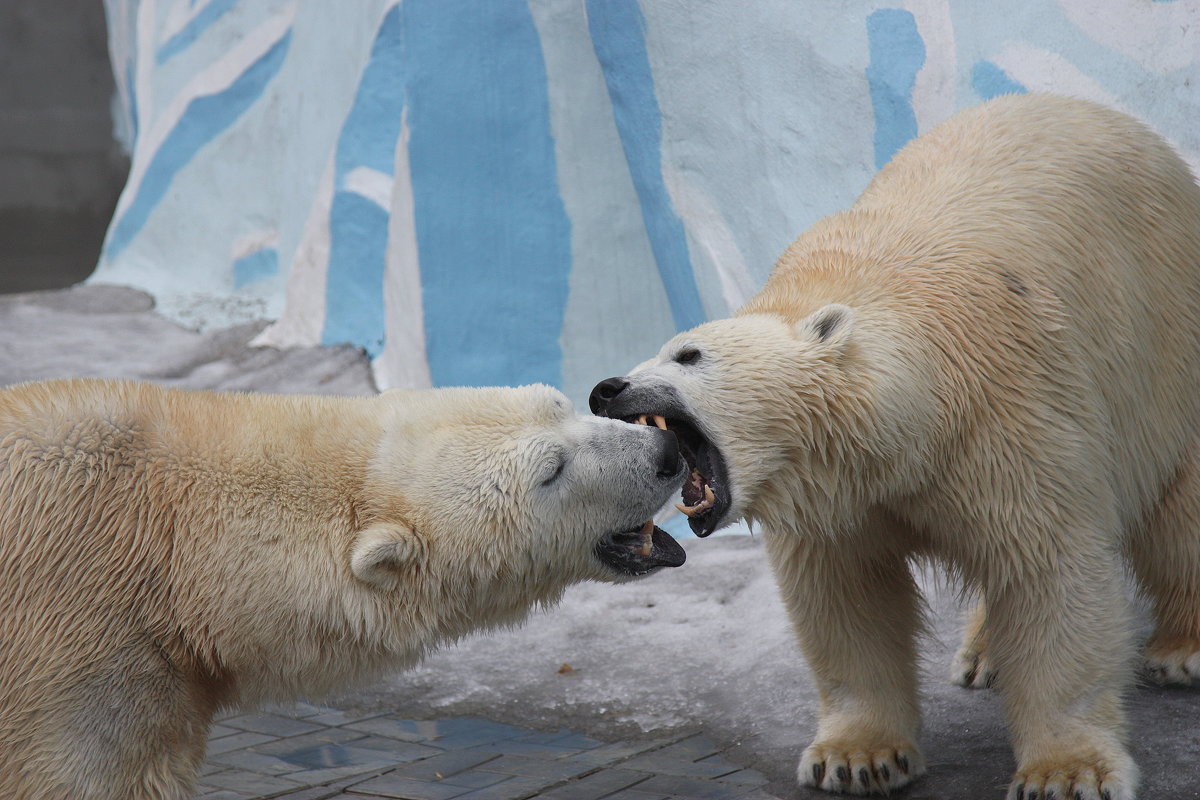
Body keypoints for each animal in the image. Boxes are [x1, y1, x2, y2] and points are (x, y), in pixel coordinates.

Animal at [588, 95, 1200, 800]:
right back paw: (985, 654)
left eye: (687, 354)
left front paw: (1065, 771)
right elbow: (847, 600)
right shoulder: (838, 498)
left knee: (1179, 505)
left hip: (1165, 339)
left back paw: (1181, 649)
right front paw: (858, 757)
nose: (606, 388)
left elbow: (1049, 568)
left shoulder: (1009, 417)